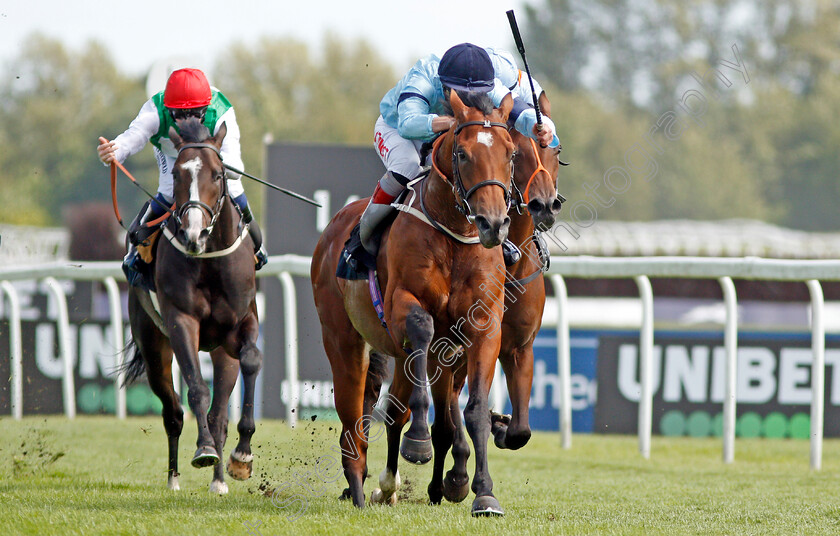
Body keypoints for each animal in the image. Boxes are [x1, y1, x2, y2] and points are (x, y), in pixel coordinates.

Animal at [120, 118, 260, 494]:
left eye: (218, 173)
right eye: (178, 174)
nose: (194, 234)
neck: (209, 259)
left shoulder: (241, 323)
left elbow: (251, 360)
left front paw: (242, 456)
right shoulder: (181, 322)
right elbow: (196, 388)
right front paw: (204, 449)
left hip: (221, 351)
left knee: (219, 414)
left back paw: (220, 480)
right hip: (153, 346)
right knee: (173, 413)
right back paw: (174, 478)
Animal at [312, 91, 516, 516]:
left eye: (510, 153)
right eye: (462, 153)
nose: (492, 223)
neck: (454, 234)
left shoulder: (482, 326)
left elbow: (473, 412)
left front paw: (483, 493)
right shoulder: (403, 308)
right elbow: (422, 329)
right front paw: (418, 441)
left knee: (391, 411)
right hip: (343, 339)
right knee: (353, 416)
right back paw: (360, 487)